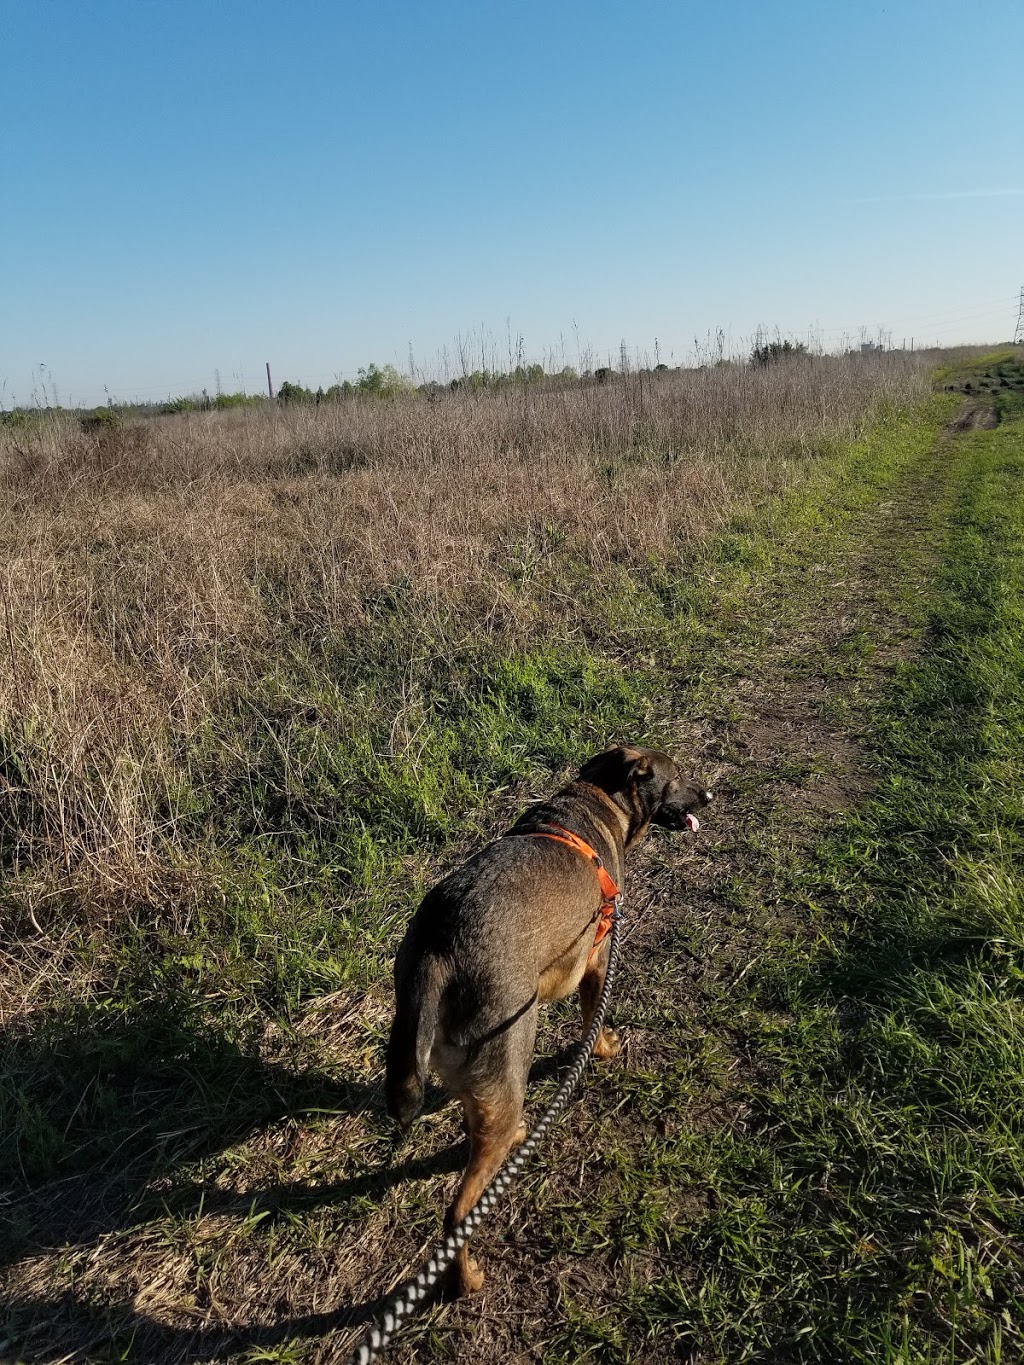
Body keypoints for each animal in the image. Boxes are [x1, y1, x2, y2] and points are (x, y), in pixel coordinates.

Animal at [385, 748, 715, 1288]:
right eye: (679, 777)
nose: (708, 794)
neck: (598, 800)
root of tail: (439, 951)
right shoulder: (599, 959)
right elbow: (592, 1020)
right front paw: (602, 1049)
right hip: (509, 1060)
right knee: (459, 1212)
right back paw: (466, 1278)